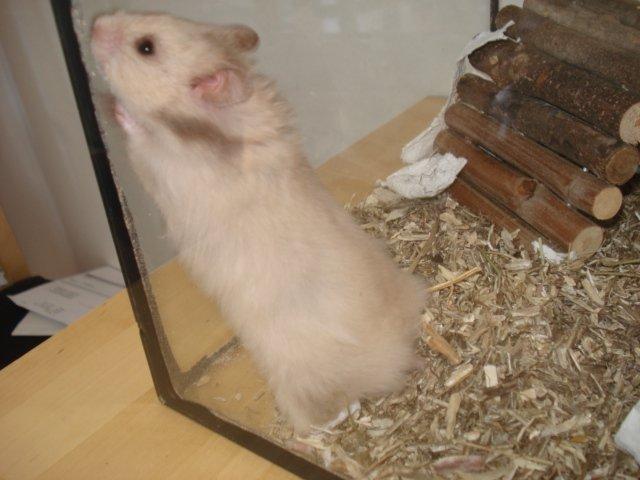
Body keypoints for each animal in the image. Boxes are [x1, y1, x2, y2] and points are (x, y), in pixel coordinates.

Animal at [91, 12, 427, 433]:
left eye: (145, 47)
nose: (93, 25)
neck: (215, 124)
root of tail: (395, 356)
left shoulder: (165, 165)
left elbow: (141, 137)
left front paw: (113, 106)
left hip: (301, 378)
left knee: (328, 411)